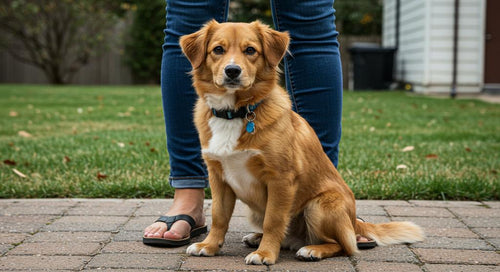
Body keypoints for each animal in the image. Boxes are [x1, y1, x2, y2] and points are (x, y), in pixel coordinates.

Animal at [179, 19, 422, 266]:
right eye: (218, 49)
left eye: (250, 50)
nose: (232, 71)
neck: (237, 113)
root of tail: (354, 222)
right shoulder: (218, 178)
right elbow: (219, 216)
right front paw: (209, 246)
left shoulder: (281, 179)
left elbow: (274, 220)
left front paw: (265, 254)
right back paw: (258, 237)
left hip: (319, 206)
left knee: (343, 246)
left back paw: (312, 249)